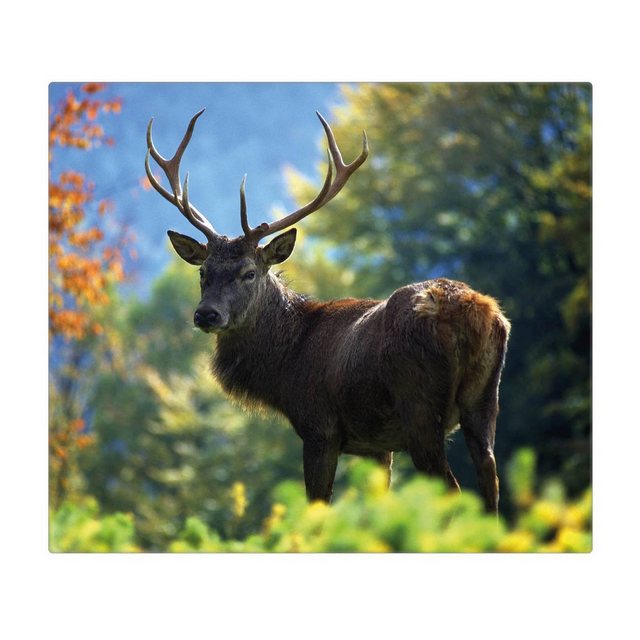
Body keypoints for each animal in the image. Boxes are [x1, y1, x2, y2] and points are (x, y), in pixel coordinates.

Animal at [145, 109, 511, 513]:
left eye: (249, 272)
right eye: (203, 272)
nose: (206, 315)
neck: (285, 365)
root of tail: (478, 312)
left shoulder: (319, 427)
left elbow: (317, 506)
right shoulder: (378, 446)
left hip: (420, 404)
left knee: (455, 490)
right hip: (485, 400)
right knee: (490, 481)